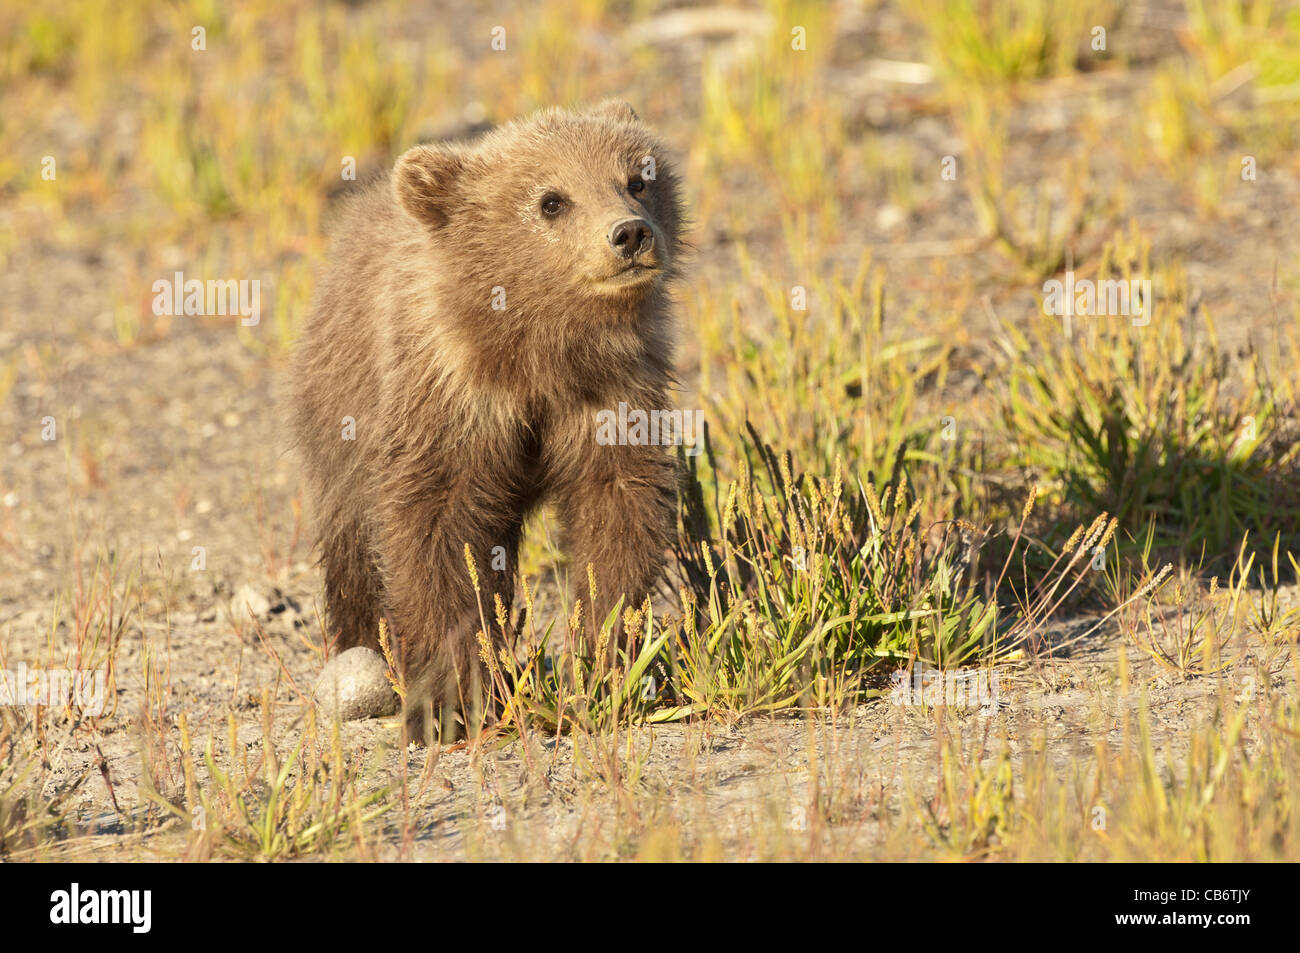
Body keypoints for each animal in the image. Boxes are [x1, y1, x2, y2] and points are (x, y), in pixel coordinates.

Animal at [287, 101, 685, 741]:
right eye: (551, 200)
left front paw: (606, 663)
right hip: (337, 414)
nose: (630, 233)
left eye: (638, 179)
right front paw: (448, 700)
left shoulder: (613, 394)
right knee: (353, 543)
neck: (540, 347)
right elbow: (436, 532)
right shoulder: (449, 396)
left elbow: (619, 512)